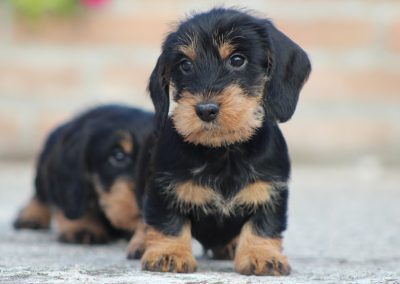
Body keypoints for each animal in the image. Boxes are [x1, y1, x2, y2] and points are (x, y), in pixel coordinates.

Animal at [138, 8, 312, 276]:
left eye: (237, 60)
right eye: (185, 65)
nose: (206, 110)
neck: (223, 152)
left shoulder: (270, 191)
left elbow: (263, 226)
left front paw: (263, 256)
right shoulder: (162, 189)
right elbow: (168, 222)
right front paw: (169, 254)